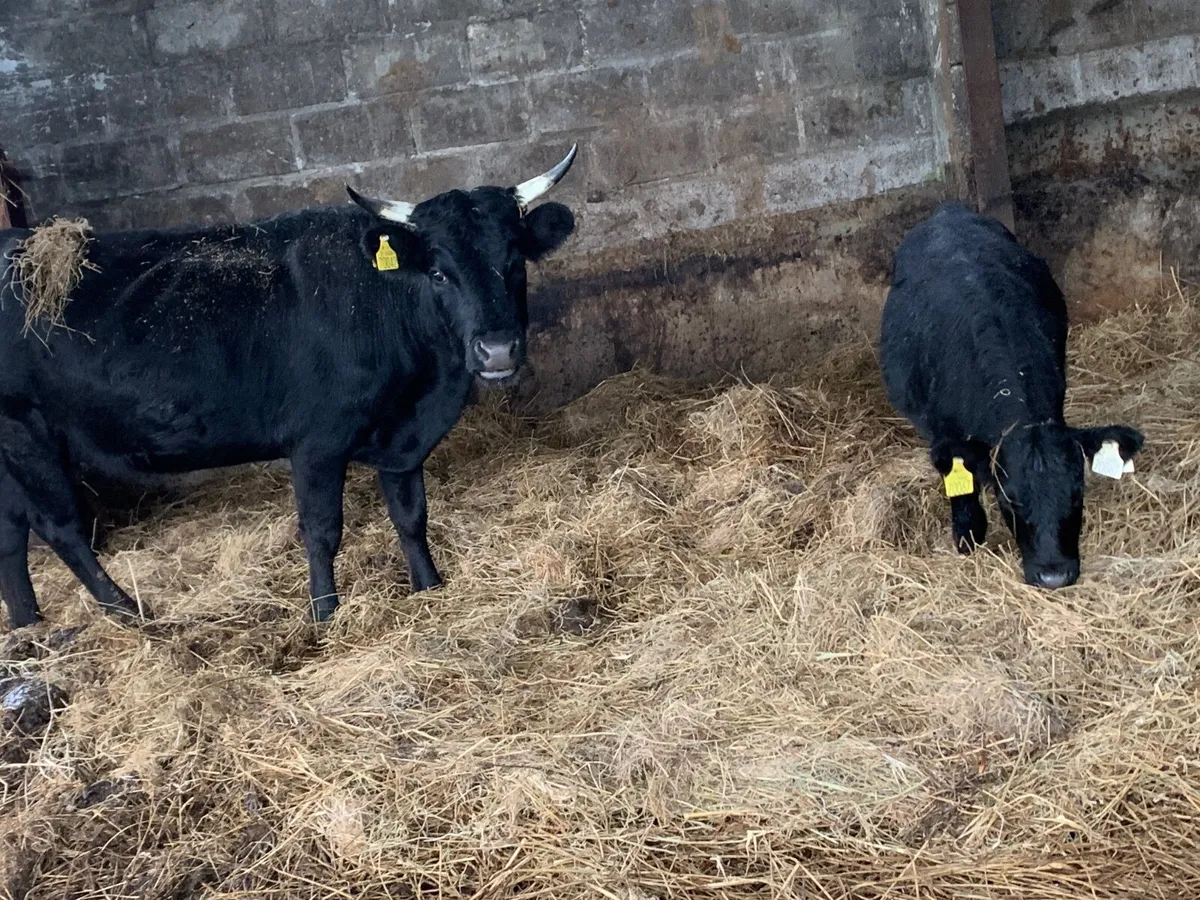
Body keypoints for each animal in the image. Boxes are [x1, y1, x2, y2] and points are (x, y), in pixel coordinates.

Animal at [0, 145, 579, 629]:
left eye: (514, 260)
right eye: (438, 272)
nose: (498, 350)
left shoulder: (403, 440)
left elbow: (411, 515)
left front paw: (429, 588)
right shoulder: (316, 443)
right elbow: (322, 531)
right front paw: (325, 616)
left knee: (11, 532)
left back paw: (30, 626)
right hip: (25, 431)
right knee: (61, 527)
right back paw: (130, 614)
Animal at [878, 201, 1143, 588]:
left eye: (1077, 494)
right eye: (1009, 501)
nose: (1054, 575)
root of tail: (948, 211)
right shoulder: (944, 433)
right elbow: (961, 483)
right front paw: (968, 534)